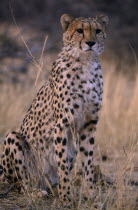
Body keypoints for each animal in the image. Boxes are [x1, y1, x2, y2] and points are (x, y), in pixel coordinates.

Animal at [0, 13, 108, 206]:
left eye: (97, 30)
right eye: (79, 30)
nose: (90, 43)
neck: (85, 63)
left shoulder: (90, 123)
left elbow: (88, 162)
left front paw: (91, 195)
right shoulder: (62, 124)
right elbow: (62, 164)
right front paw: (66, 197)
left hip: (73, 147)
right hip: (14, 140)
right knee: (22, 184)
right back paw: (36, 192)